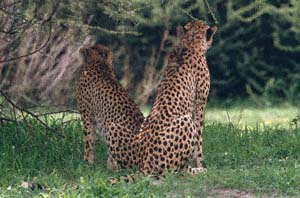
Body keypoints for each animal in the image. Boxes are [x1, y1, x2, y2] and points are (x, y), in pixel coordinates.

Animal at [108, 19, 216, 175]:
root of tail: (145, 163)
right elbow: (199, 139)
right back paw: (199, 170)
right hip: (186, 120)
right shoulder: (200, 104)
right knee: (180, 171)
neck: (189, 42)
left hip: (114, 127)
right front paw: (200, 163)